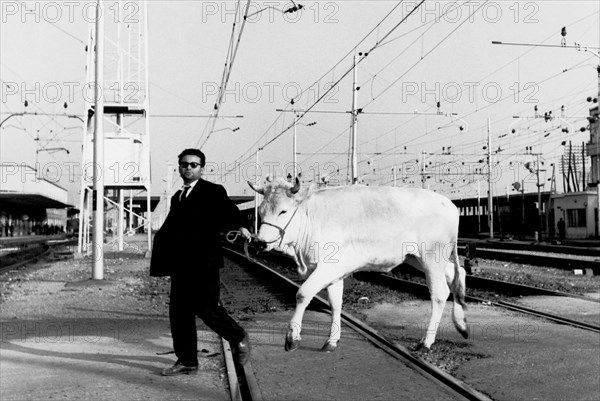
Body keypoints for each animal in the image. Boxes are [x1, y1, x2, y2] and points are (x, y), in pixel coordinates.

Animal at [248, 177, 468, 352]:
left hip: (432, 258)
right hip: (417, 258)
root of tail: (447, 203)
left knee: (439, 294)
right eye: (261, 211)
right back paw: (462, 321)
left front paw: (292, 337)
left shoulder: (327, 267)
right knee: (458, 272)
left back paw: (426, 342)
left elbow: (303, 294)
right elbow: (336, 303)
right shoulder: (334, 271)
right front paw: (332, 340)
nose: (259, 242)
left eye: (283, 211)